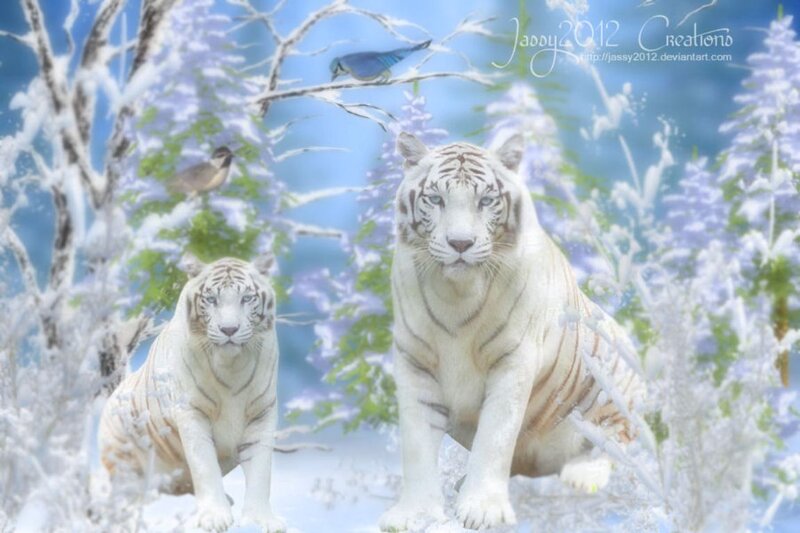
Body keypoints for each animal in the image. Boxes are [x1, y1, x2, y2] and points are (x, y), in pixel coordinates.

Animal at [98, 254, 286, 533]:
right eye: (211, 299)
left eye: (246, 298)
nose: (229, 329)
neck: (233, 367)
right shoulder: (192, 412)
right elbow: (204, 466)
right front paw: (215, 518)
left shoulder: (262, 413)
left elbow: (261, 471)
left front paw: (259, 519)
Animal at [379, 132, 646, 531]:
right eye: (436, 199)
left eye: (486, 201)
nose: (461, 243)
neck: (456, 294)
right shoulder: (414, 361)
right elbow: (416, 443)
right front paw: (415, 513)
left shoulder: (513, 361)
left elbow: (495, 437)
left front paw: (481, 510)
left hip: (617, 376)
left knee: (616, 441)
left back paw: (583, 475)